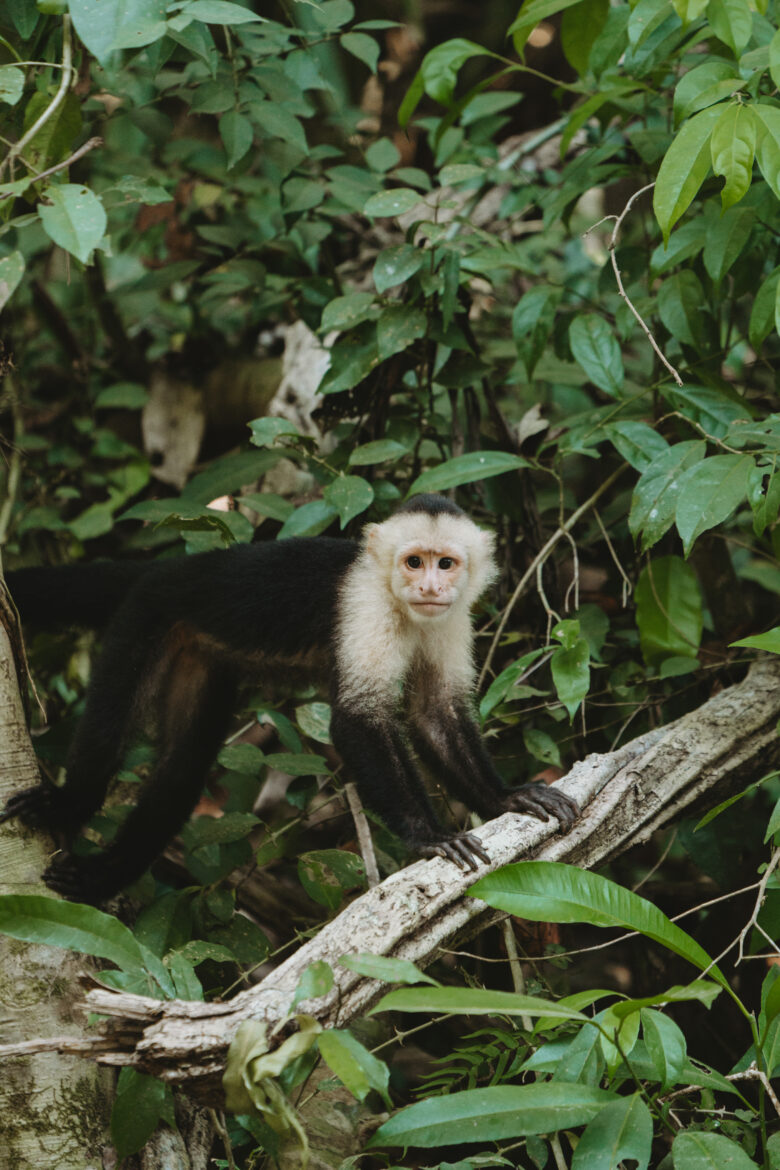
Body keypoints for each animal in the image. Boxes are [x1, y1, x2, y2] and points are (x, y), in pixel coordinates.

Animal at [0, 493, 573, 903]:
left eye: (446, 564)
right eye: (414, 562)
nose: (430, 588)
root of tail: (166, 569)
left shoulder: (453, 617)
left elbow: (435, 715)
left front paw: (505, 797)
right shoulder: (366, 605)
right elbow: (356, 719)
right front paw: (428, 835)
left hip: (197, 653)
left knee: (181, 768)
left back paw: (104, 876)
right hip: (145, 616)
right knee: (109, 722)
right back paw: (70, 803)